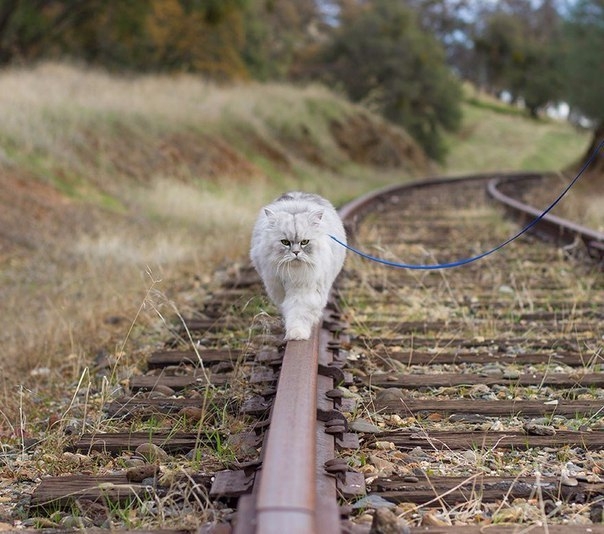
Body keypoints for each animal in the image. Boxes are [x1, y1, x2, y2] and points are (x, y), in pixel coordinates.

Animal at [249, 195, 344, 342]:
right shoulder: (278, 288)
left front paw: (297, 334)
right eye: (285, 242)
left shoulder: (304, 291)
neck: (294, 273)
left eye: (304, 242)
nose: (296, 253)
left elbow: (299, 313)